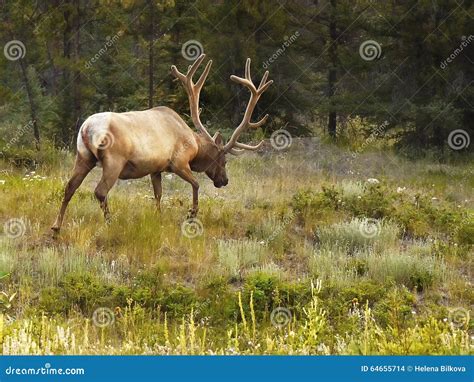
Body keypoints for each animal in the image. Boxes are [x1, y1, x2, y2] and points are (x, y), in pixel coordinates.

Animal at [50, 53, 272, 233]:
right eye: (223, 161)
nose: (224, 180)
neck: (195, 145)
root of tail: (87, 127)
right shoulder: (179, 162)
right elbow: (196, 184)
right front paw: (192, 213)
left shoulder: (155, 169)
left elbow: (158, 195)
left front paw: (158, 217)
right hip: (113, 161)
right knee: (100, 191)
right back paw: (109, 223)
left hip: (83, 156)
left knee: (69, 187)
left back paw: (56, 227)